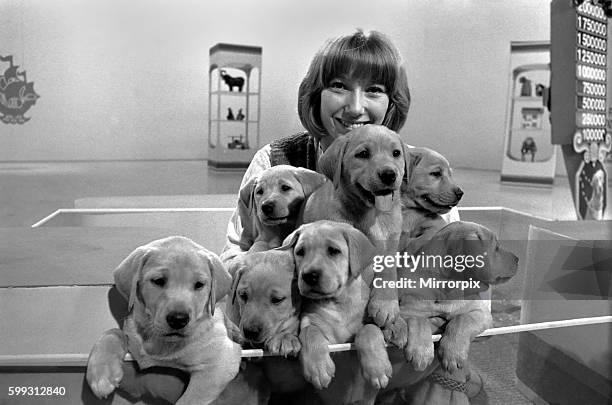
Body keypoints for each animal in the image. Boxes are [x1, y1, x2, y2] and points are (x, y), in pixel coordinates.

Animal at [87, 235, 240, 402]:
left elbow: (189, 399)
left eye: (199, 284)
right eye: (159, 280)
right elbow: (113, 332)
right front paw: (101, 374)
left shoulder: (221, 361)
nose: (178, 319)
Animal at [284, 219, 392, 402]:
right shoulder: (310, 321)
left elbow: (369, 330)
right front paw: (318, 367)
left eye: (333, 251)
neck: (337, 304)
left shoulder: (367, 322)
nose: (309, 275)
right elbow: (309, 332)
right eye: (300, 252)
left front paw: (378, 368)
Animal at [304, 123, 408, 338]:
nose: (389, 174)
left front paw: (386, 307)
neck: (371, 213)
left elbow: (388, 272)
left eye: (396, 153)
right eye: (363, 154)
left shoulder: (391, 243)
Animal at [396, 221, 516, 372]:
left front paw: (453, 353)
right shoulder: (408, 308)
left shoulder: (481, 312)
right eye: (496, 247)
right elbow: (419, 320)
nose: (518, 259)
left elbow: (462, 319)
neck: (447, 289)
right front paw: (421, 351)